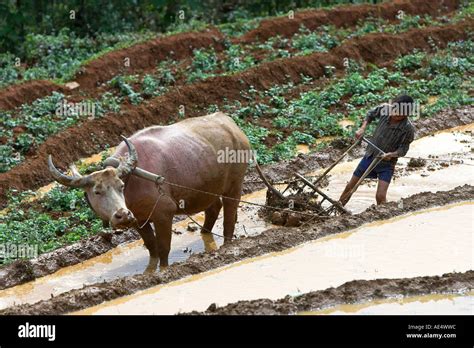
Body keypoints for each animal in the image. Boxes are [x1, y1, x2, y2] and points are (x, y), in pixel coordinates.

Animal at [48, 113, 252, 274]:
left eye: (120, 185)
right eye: (97, 191)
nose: (122, 215)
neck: (132, 181)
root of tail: (231, 124)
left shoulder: (164, 214)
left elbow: (163, 248)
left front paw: (163, 271)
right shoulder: (138, 220)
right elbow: (152, 247)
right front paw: (150, 271)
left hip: (235, 184)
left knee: (229, 216)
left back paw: (227, 245)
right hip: (208, 188)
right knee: (213, 208)